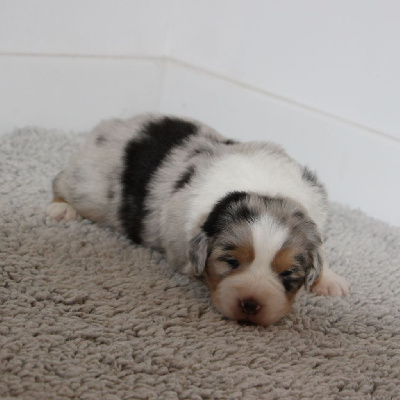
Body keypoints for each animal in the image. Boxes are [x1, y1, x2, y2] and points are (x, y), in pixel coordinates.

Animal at [46, 114, 350, 326]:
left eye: (288, 274)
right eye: (231, 261)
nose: (251, 304)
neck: (267, 190)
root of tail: (109, 126)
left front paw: (329, 280)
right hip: (89, 187)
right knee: (60, 180)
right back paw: (61, 209)